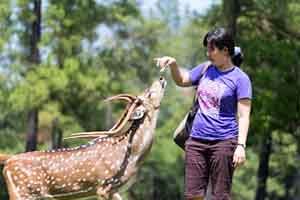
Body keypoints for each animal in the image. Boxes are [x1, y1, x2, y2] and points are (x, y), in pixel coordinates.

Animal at [0, 77, 166, 200]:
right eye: (149, 93)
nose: (161, 77)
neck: (132, 156)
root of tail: (9, 160)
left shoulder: (114, 189)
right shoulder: (103, 186)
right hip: (24, 192)